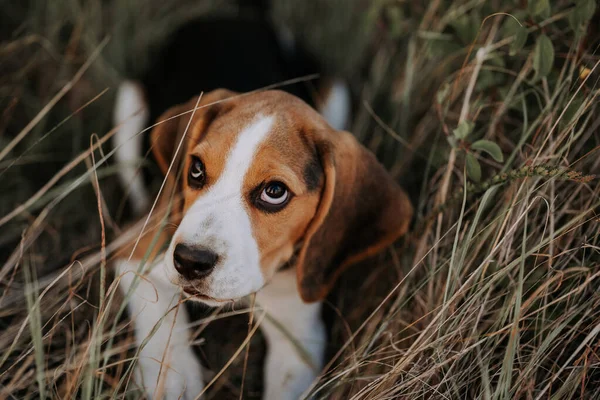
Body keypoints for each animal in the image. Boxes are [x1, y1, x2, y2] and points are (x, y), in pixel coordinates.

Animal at [111, 4, 412, 398]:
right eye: (195, 169)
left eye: (275, 192)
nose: (190, 261)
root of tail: (235, 14)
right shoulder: (135, 253)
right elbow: (161, 326)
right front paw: (174, 379)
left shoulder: (299, 336)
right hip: (128, 103)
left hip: (336, 91)